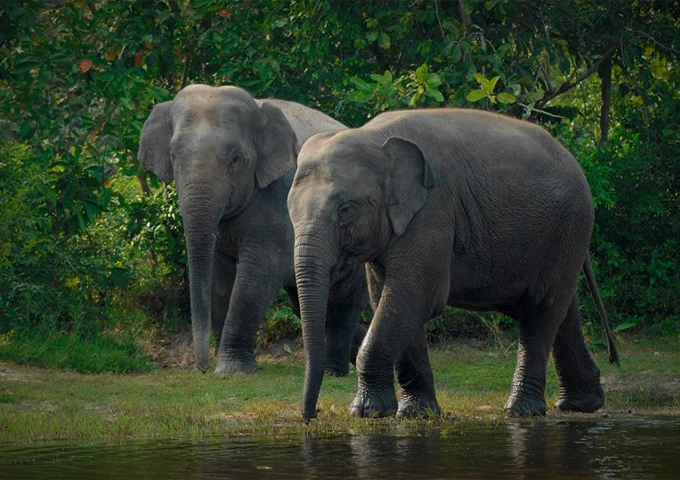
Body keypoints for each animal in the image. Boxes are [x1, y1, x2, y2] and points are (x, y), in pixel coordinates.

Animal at [139, 85, 370, 378]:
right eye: (172, 157)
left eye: (236, 159)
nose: (201, 368)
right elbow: (218, 275)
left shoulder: (279, 196)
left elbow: (261, 269)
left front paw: (233, 371)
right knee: (308, 303)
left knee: (344, 303)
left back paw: (333, 372)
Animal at [290, 108, 620, 420]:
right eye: (289, 210)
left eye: (346, 210)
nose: (312, 414)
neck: (373, 137)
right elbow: (391, 298)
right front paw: (416, 413)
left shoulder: (432, 213)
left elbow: (415, 297)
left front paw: (365, 412)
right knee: (561, 309)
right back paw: (580, 405)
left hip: (569, 226)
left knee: (541, 311)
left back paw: (521, 411)